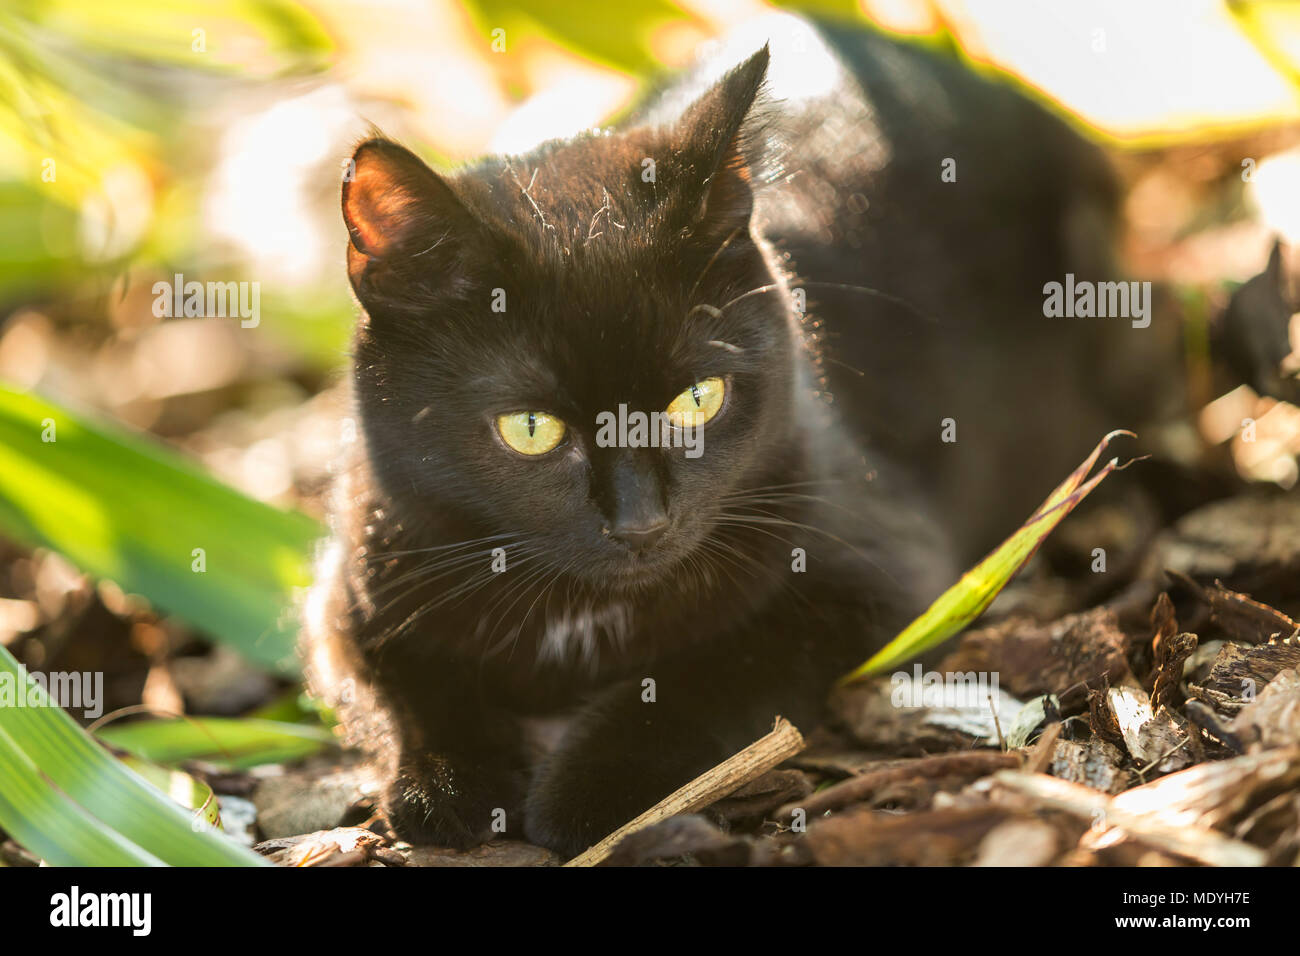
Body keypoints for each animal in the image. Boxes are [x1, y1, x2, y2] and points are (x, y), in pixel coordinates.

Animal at [309, 16, 1144, 858]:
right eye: (532, 428)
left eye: (697, 399)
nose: (641, 521)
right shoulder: (358, 583)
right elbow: (404, 687)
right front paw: (446, 785)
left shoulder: (883, 577)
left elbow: (707, 673)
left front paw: (594, 789)